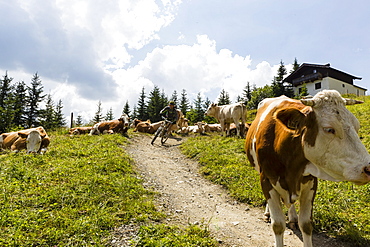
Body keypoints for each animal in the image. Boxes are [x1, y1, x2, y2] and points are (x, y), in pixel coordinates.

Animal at [244, 90, 368, 247]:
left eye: (357, 127)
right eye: (329, 129)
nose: (368, 168)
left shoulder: (311, 182)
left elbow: (306, 224)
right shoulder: (266, 179)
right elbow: (277, 225)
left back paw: (292, 217)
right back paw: (268, 213)